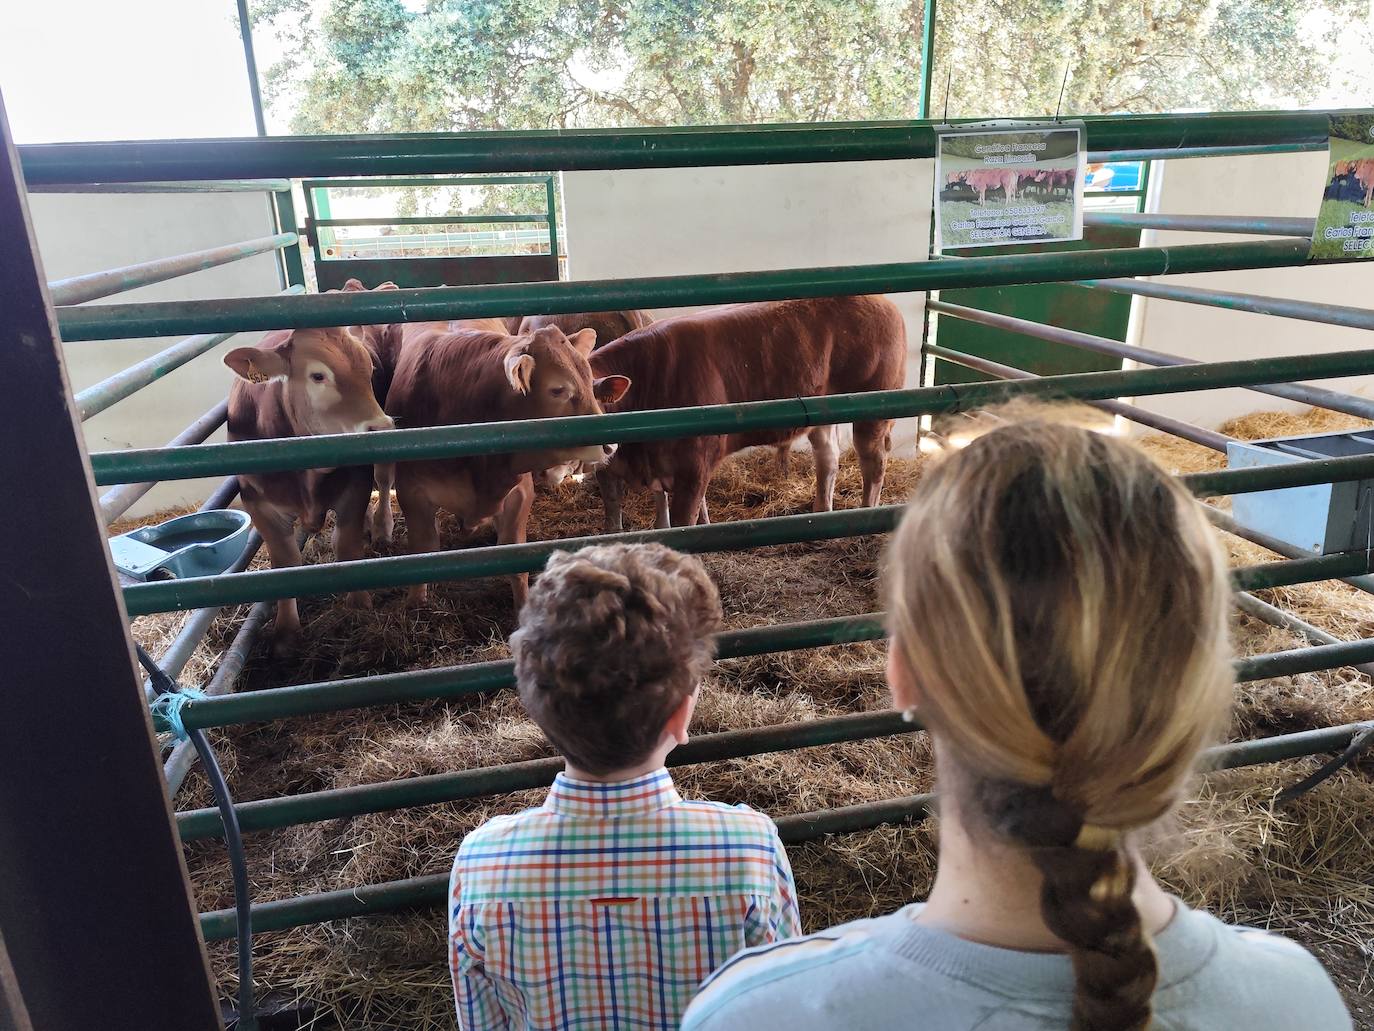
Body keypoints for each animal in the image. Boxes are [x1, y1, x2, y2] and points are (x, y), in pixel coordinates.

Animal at [225, 287, 398, 648]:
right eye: (318, 375)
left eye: (369, 368)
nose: (381, 426)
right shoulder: (258, 503)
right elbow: (286, 562)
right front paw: (286, 631)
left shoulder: (354, 487)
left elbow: (345, 547)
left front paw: (359, 605)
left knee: (384, 478)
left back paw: (380, 526)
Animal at [381, 327, 629, 610]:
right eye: (557, 390)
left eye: (589, 381)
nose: (610, 445)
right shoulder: (412, 492)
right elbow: (423, 548)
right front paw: (416, 602)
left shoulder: (519, 494)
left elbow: (514, 558)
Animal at [588, 292, 901, 527]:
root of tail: (882, 301)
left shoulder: (694, 465)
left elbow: (682, 522)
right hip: (824, 408)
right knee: (828, 457)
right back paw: (821, 511)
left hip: (875, 407)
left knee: (873, 462)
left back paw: (867, 512)